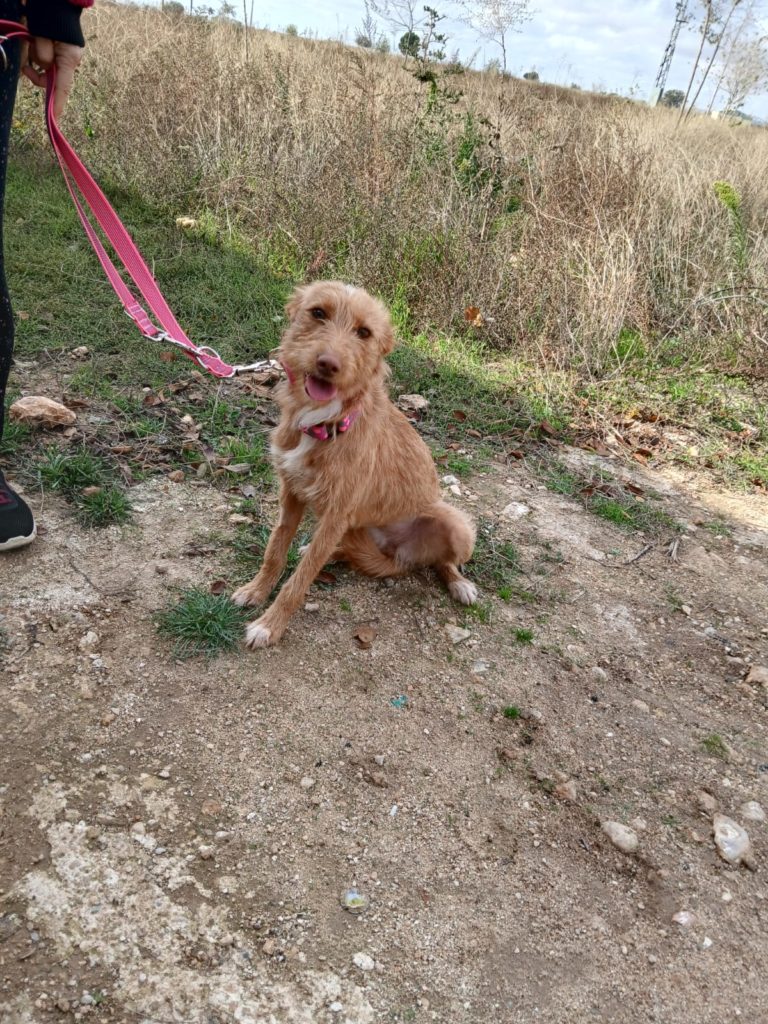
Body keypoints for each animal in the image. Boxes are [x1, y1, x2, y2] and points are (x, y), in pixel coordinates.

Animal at [231, 280, 479, 647]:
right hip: (353, 528)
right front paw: (256, 590)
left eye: (364, 332)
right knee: (336, 550)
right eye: (318, 313)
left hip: (456, 523)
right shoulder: (291, 494)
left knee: (442, 561)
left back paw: (459, 583)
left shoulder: (337, 513)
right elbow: (275, 549)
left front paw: (270, 625)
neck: (324, 423)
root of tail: (399, 558)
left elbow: (299, 580)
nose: (328, 363)